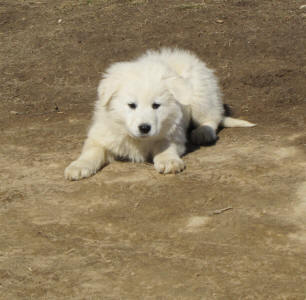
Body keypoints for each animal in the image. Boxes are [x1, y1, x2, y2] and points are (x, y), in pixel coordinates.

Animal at [65, 48, 256, 180]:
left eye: (156, 105)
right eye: (131, 105)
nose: (144, 128)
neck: (137, 139)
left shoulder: (173, 133)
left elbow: (165, 146)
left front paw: (168, 161)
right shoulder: (102, 134)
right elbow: (91, 151)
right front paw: (78, 166)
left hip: (200, 96)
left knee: (212, 117)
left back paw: (203, 133)